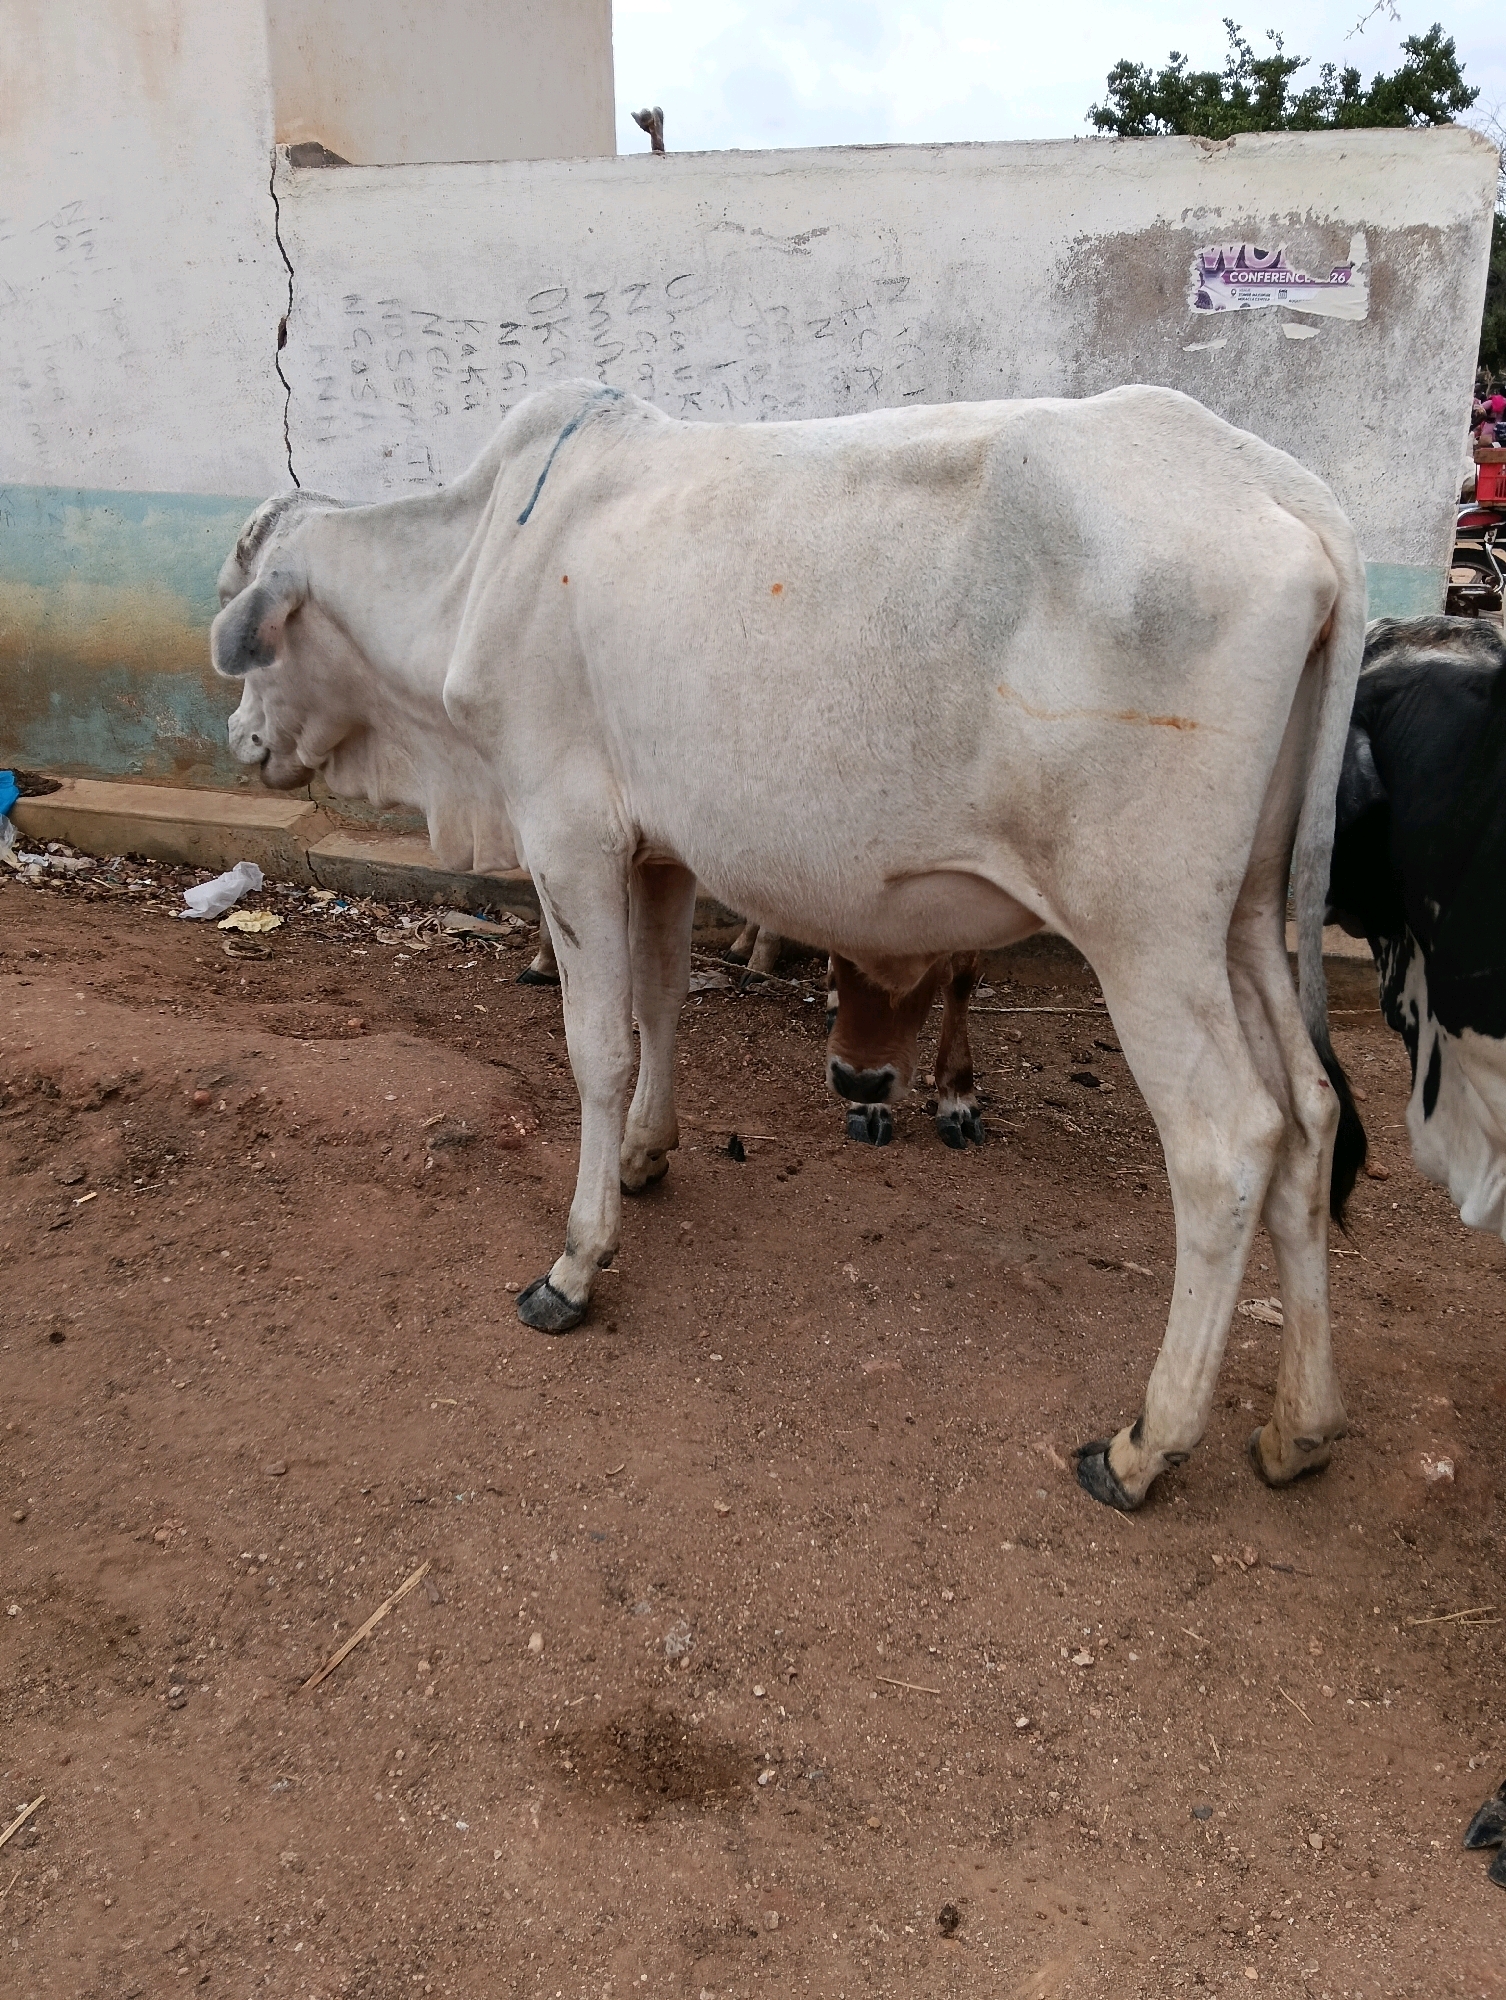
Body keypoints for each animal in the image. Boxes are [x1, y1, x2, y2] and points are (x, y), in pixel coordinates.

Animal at [212, 378, 1366, 1513]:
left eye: (251, 621)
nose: (238, 736)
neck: (490, 553)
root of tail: (1289, 492)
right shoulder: (660, 848)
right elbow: (661, 1003)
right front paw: (645, 1153)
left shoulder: (568, 833)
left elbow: (599, 1047)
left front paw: (577, 1260)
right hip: (1243, 919)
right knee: (1309, 1116)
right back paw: (1299, 1426)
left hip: (1148, 934)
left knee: (1228, 1144)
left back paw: (1143, 1446)